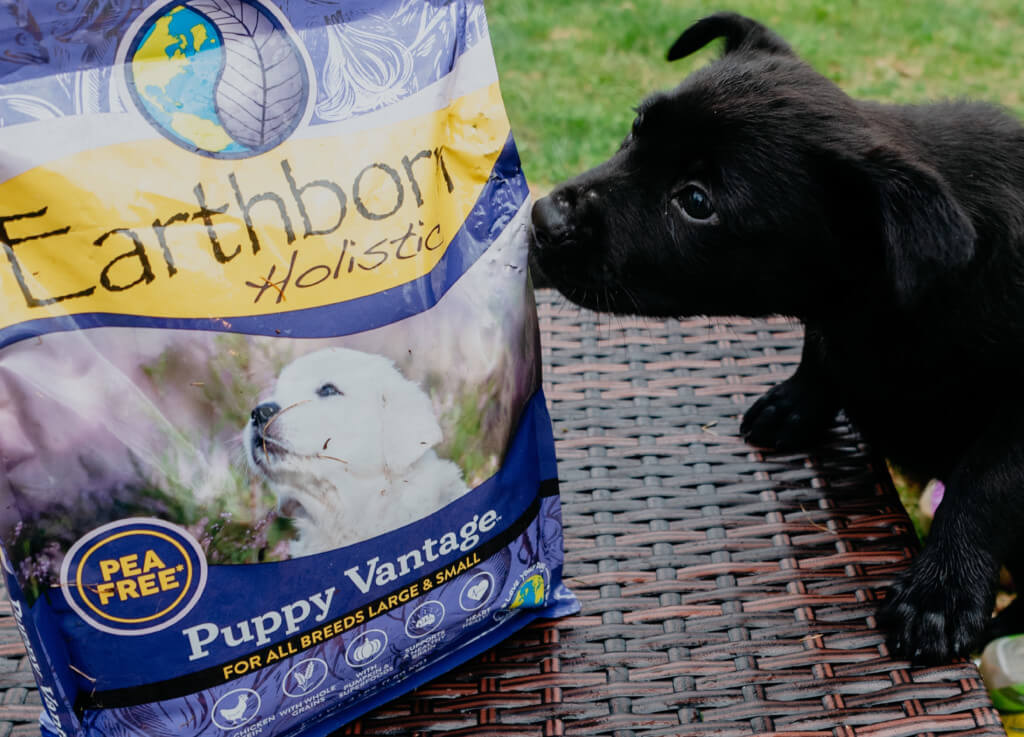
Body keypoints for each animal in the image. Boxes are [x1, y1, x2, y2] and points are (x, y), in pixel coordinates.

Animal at [528, 12, 1024, 667]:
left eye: (696, 201)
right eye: (635, 129)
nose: (543, 219)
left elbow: (986, 477)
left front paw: (940, 591)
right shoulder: (832, 317)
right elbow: (820, 347)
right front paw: (795, 404)